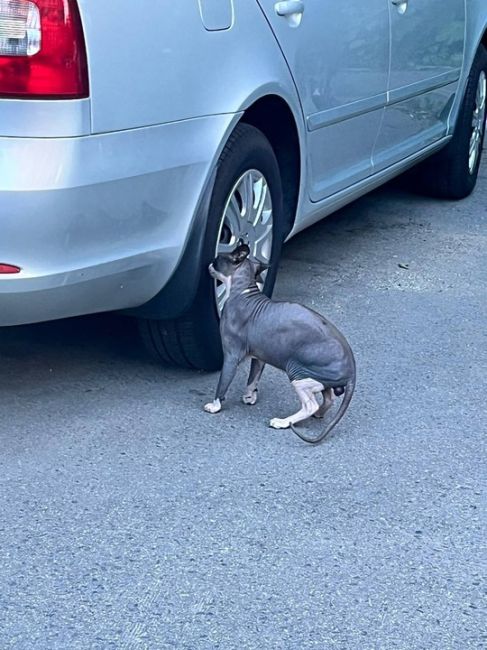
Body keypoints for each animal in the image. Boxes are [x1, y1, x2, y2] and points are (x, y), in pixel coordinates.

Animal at [204, 240, 356, 442]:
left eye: (217, 259)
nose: (208, 265)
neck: (243, 291)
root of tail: (352, 371)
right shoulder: (259, 355)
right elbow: (253, 378)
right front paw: (249, 397)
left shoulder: (231, 354)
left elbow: (223, 383)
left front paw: (215, 406)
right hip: (320, 378)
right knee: (329, 398)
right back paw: (318, 414)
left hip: (298, 371)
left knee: (310, 404)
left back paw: (283, 422)